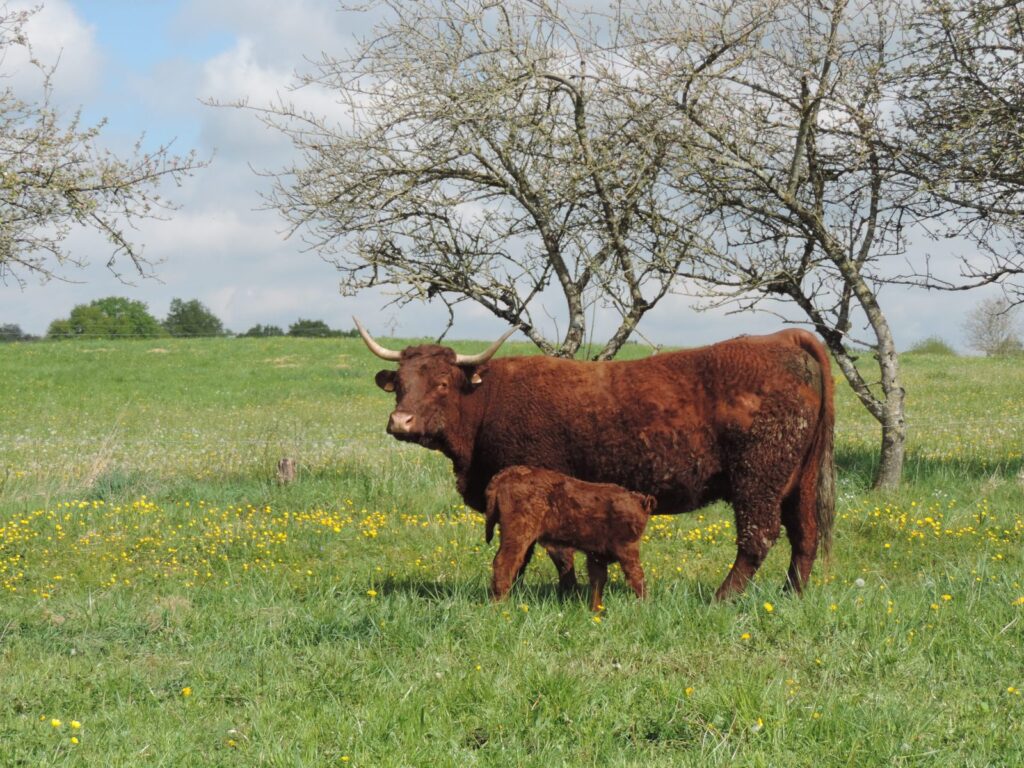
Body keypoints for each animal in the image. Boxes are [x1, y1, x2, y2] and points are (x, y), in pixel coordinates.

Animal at [485, 465, 656, 610]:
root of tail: (509, 473)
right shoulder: (627, 548)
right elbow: (636, 576)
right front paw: (646, 606)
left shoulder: (596, 556)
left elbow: (598, 582)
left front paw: (596, 611)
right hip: (518, 534)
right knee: (505, 563)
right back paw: (499, 605)